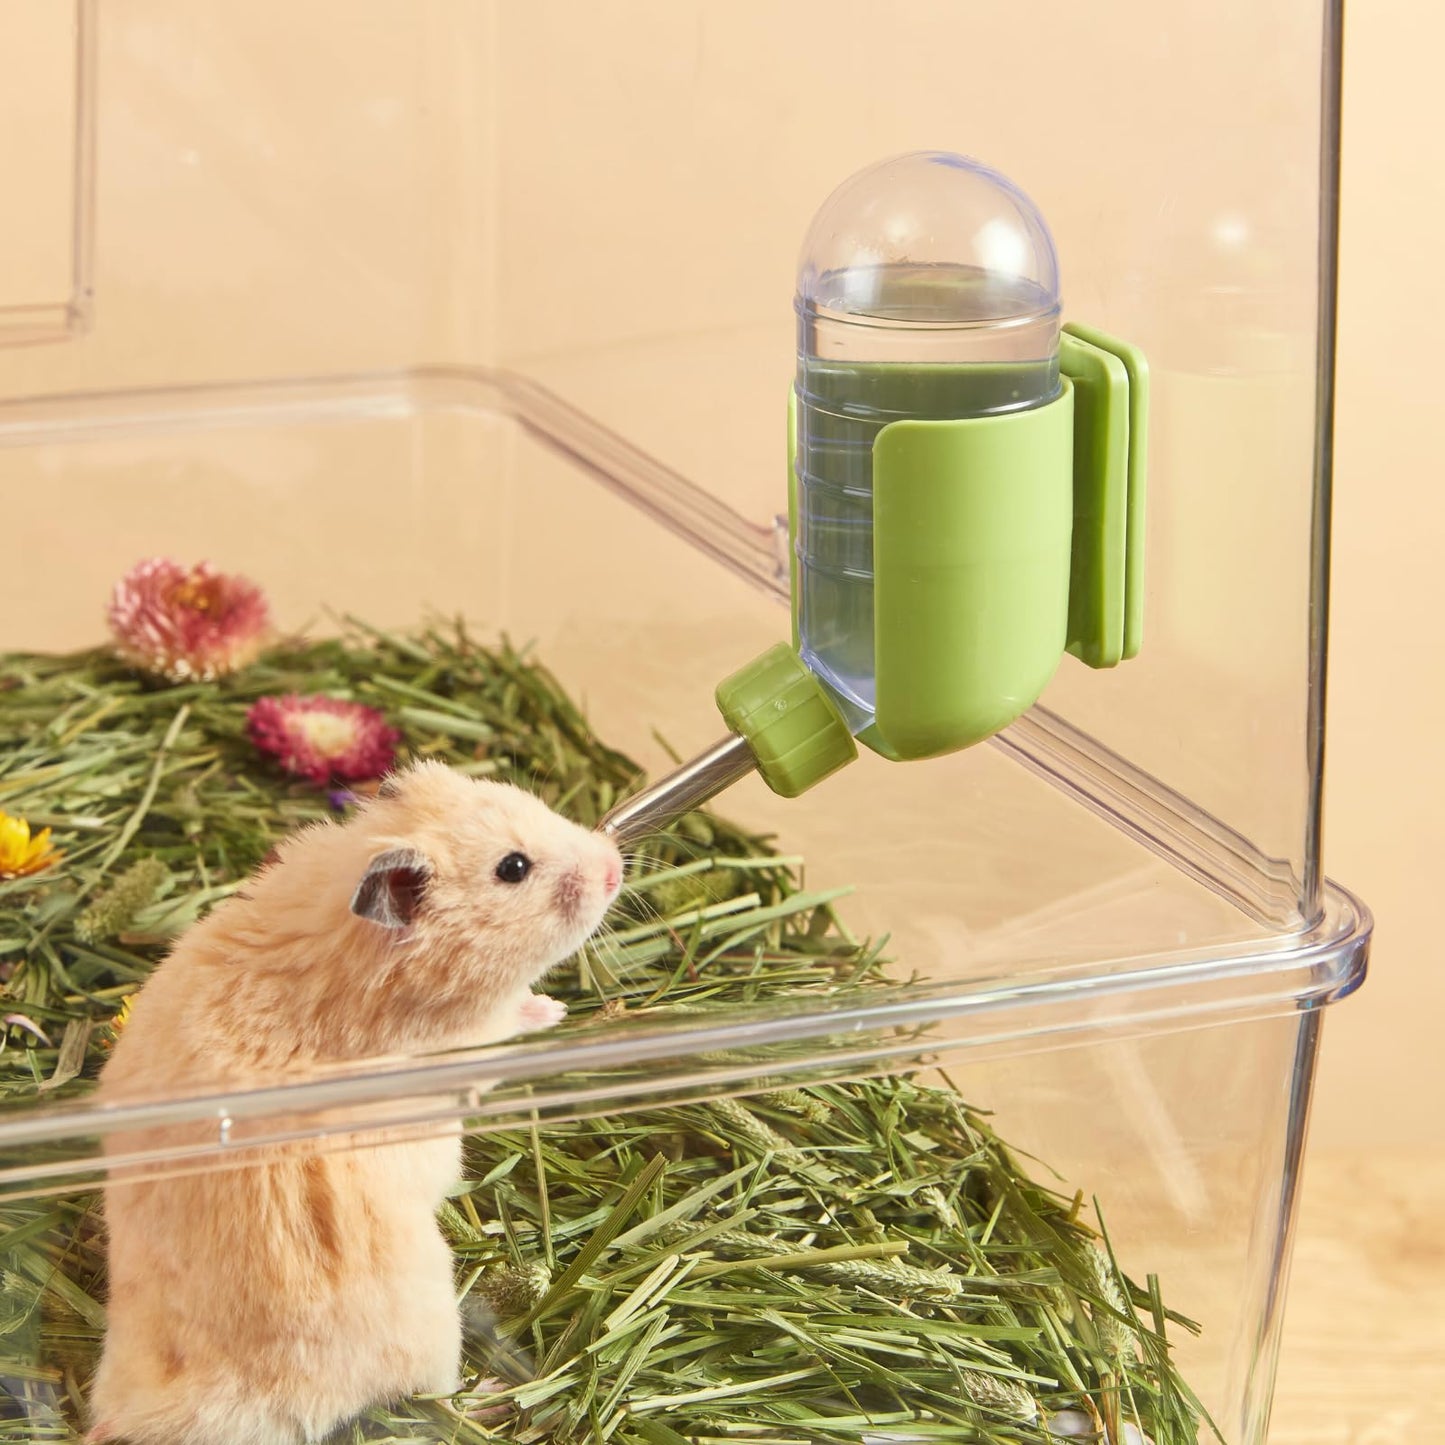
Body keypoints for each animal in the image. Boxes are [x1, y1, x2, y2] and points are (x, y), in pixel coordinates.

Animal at [88, 760, 623, 1445]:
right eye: (513, 868)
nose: (615, 864)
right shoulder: (464, 1046)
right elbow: (509, 1025)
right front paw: (551, 1009)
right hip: (431, 1317)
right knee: (435, 1397)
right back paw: (498, 1396)